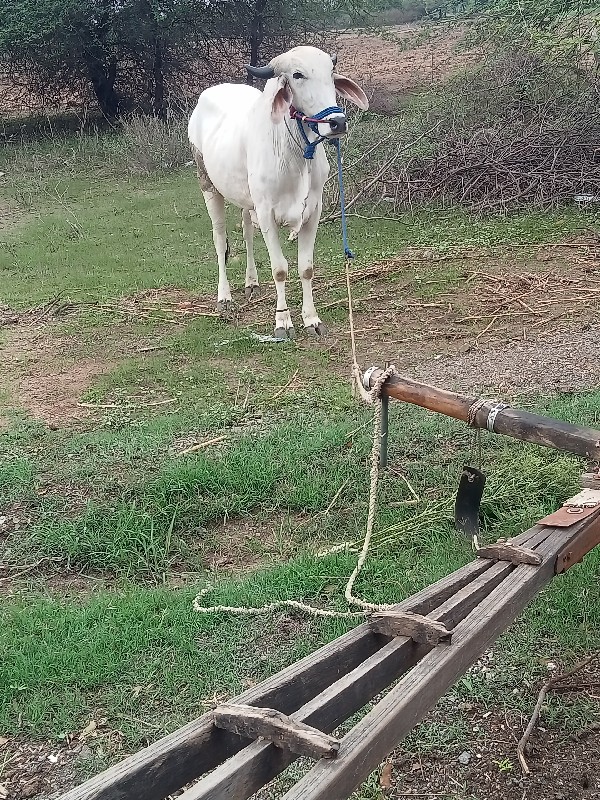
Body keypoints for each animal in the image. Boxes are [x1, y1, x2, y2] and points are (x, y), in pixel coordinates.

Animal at [188, 44, 368, 338]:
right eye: (297, 75)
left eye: (331, 73)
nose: (337, 123)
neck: (296, 151)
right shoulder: (267, 213)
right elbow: (280, 269)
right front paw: (282, 321)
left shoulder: (312, 212)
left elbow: (306, 268)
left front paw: (311, 319)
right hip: (208, 185)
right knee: (220, 240)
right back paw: (224, 298)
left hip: (246, 200)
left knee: (247, 233)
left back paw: (251, 283)